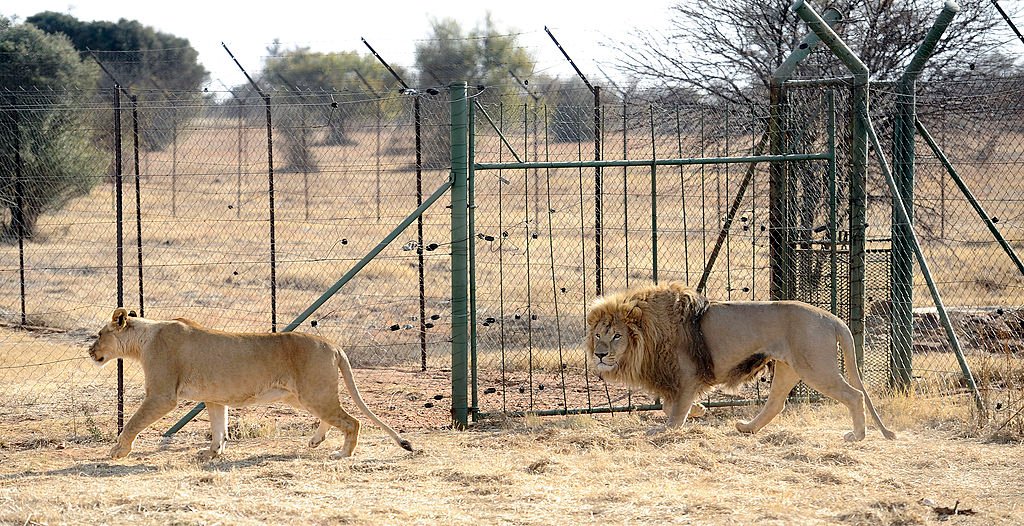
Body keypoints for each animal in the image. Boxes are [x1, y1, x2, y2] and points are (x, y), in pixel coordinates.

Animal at [88, 308, 413, 460]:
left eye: (100, 334)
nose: (89, 351)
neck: (143, 339)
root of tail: (333, 344)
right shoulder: (214, 398)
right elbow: (219, 428)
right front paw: (211, 453)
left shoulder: (162, 395)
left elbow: (133, 422)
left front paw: (118, 451)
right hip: (302, 395)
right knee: (334, 417)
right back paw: (316, 441)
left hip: (314, 392)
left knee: (352, 421)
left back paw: (343, 454)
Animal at [585, 282, 896, 441]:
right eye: (599, 335)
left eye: (616, 336)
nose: (599, 354)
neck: (650, 333)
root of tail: (832, 317)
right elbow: (668, 405)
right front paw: (699, 410)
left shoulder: (687, 375)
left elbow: (675, 411)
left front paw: (667, 427)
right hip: (789, 368)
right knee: (775, 404)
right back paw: (747, 428)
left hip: (816, 367)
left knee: (855, 395)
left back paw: (857, 435)